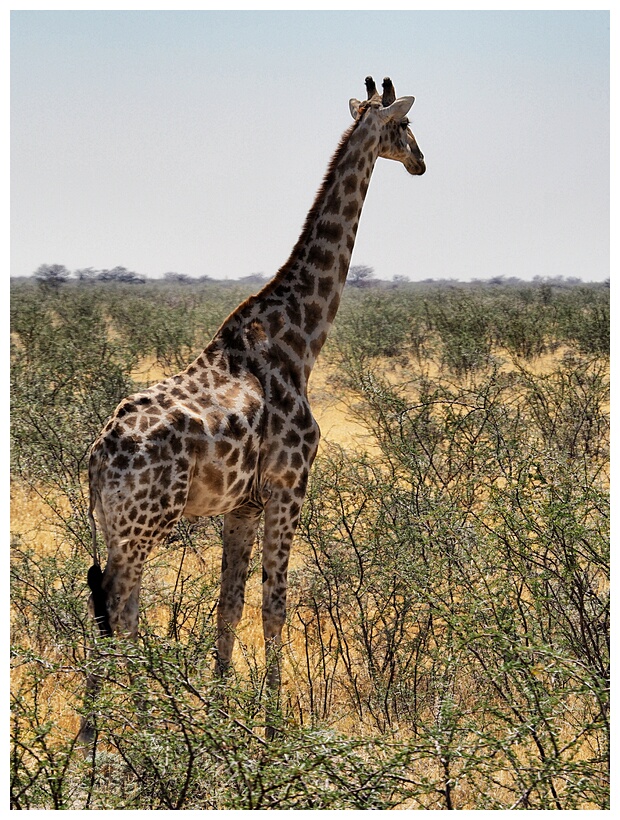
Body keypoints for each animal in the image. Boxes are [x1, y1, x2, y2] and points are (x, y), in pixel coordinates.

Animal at [80, 77, 424, 744]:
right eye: (404, 127)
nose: (423, 161)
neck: (300, 339)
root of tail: (98, 458)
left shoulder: (242, 504)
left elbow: (229, 605)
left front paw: (220, 718)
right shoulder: (291, 485)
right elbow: (275, 605)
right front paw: (273, 731)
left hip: (115, 525)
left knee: (117, 610)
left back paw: (123, 729)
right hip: (144, 526)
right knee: (119, 609)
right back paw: (108, 737)